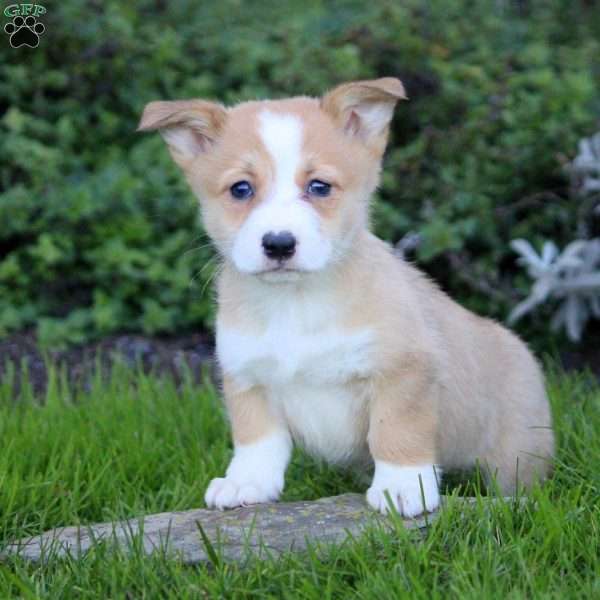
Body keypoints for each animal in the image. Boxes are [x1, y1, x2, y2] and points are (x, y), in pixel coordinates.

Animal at [138, 77, 556, 516]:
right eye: (241, 188)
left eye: (319, 186)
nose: (279, 244)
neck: (296, 303)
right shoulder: (248, 377)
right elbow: (256, 442)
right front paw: (246, 484)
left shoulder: (403, 372)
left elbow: (395, 431)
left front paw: (401, 488)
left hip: (516, 458)